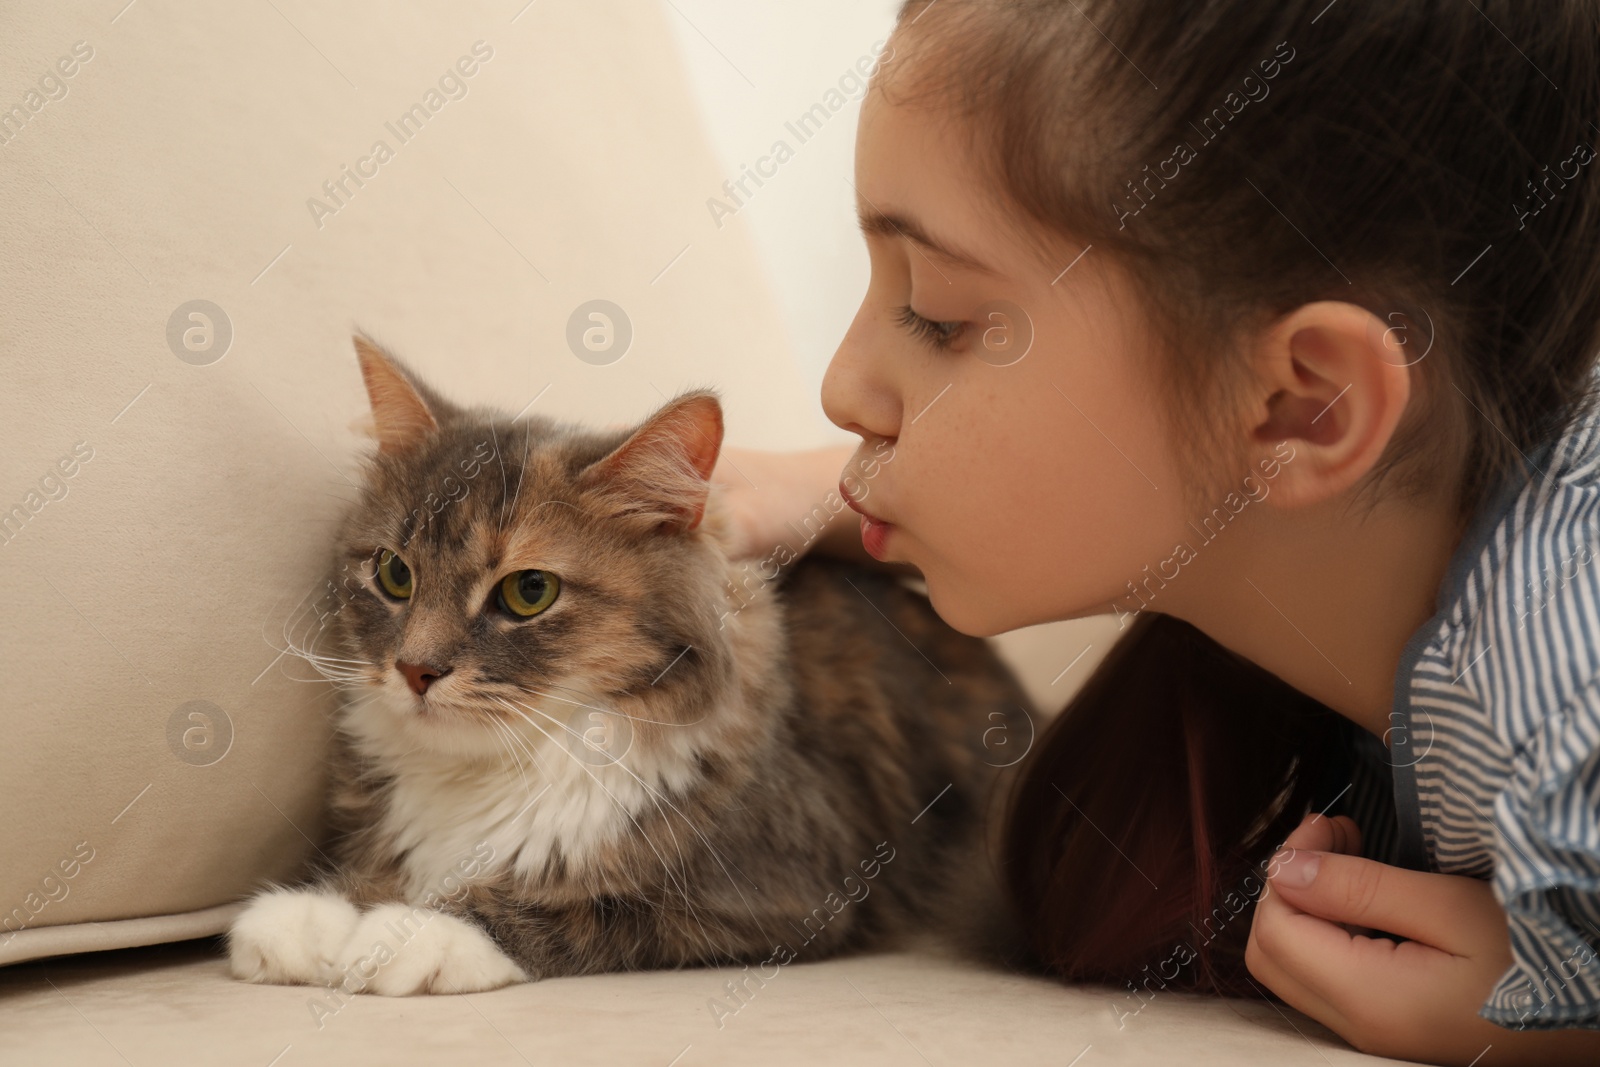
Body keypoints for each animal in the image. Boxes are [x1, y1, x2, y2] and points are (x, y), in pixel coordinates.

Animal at [228, 337, 1036, 998]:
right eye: (394, 574)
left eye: (528, 592)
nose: (415, 670)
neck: (492, 772)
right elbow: (374, 871)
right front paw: (313, 918)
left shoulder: (784, 891)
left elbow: (588, 907)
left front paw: (415, 932)